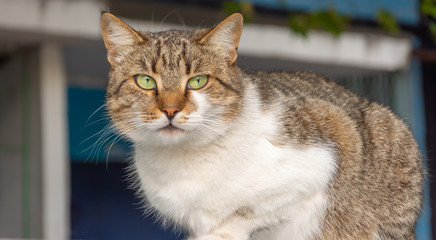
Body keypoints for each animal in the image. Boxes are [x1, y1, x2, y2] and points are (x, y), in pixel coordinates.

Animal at [100, 11, 424, 240]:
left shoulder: (327, 148)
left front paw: (221, 233)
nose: (170, 109)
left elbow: (248, 210)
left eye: (198, 81)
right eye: (145, 81)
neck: (185, 161)